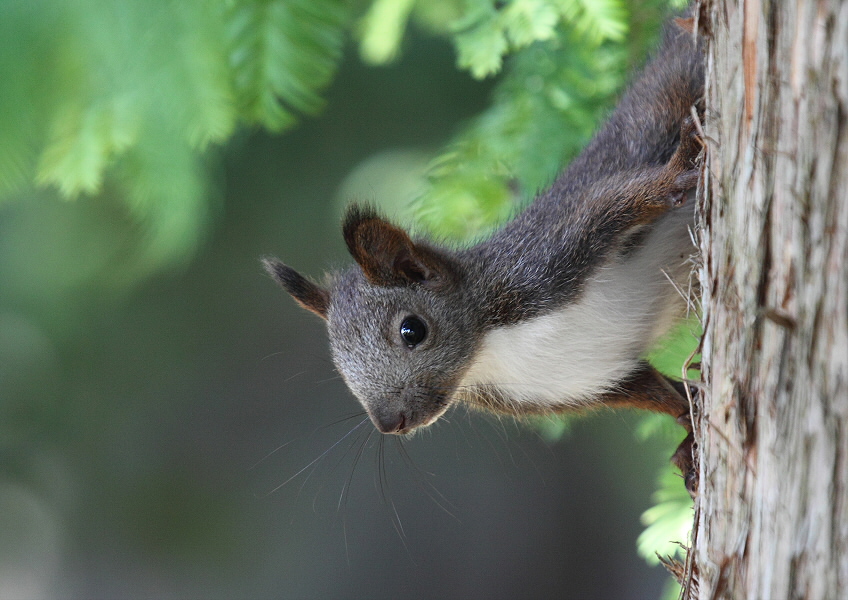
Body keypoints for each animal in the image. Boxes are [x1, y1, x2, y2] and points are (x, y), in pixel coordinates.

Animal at [264, 19, 704, 496]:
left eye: (412, 330)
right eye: (339, 363)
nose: (390, 423)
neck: (491, 346)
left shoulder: (550, 252)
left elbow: (620, 197)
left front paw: (674, 175)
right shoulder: (583, 379)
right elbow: (657, 392)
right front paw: (689, 432)